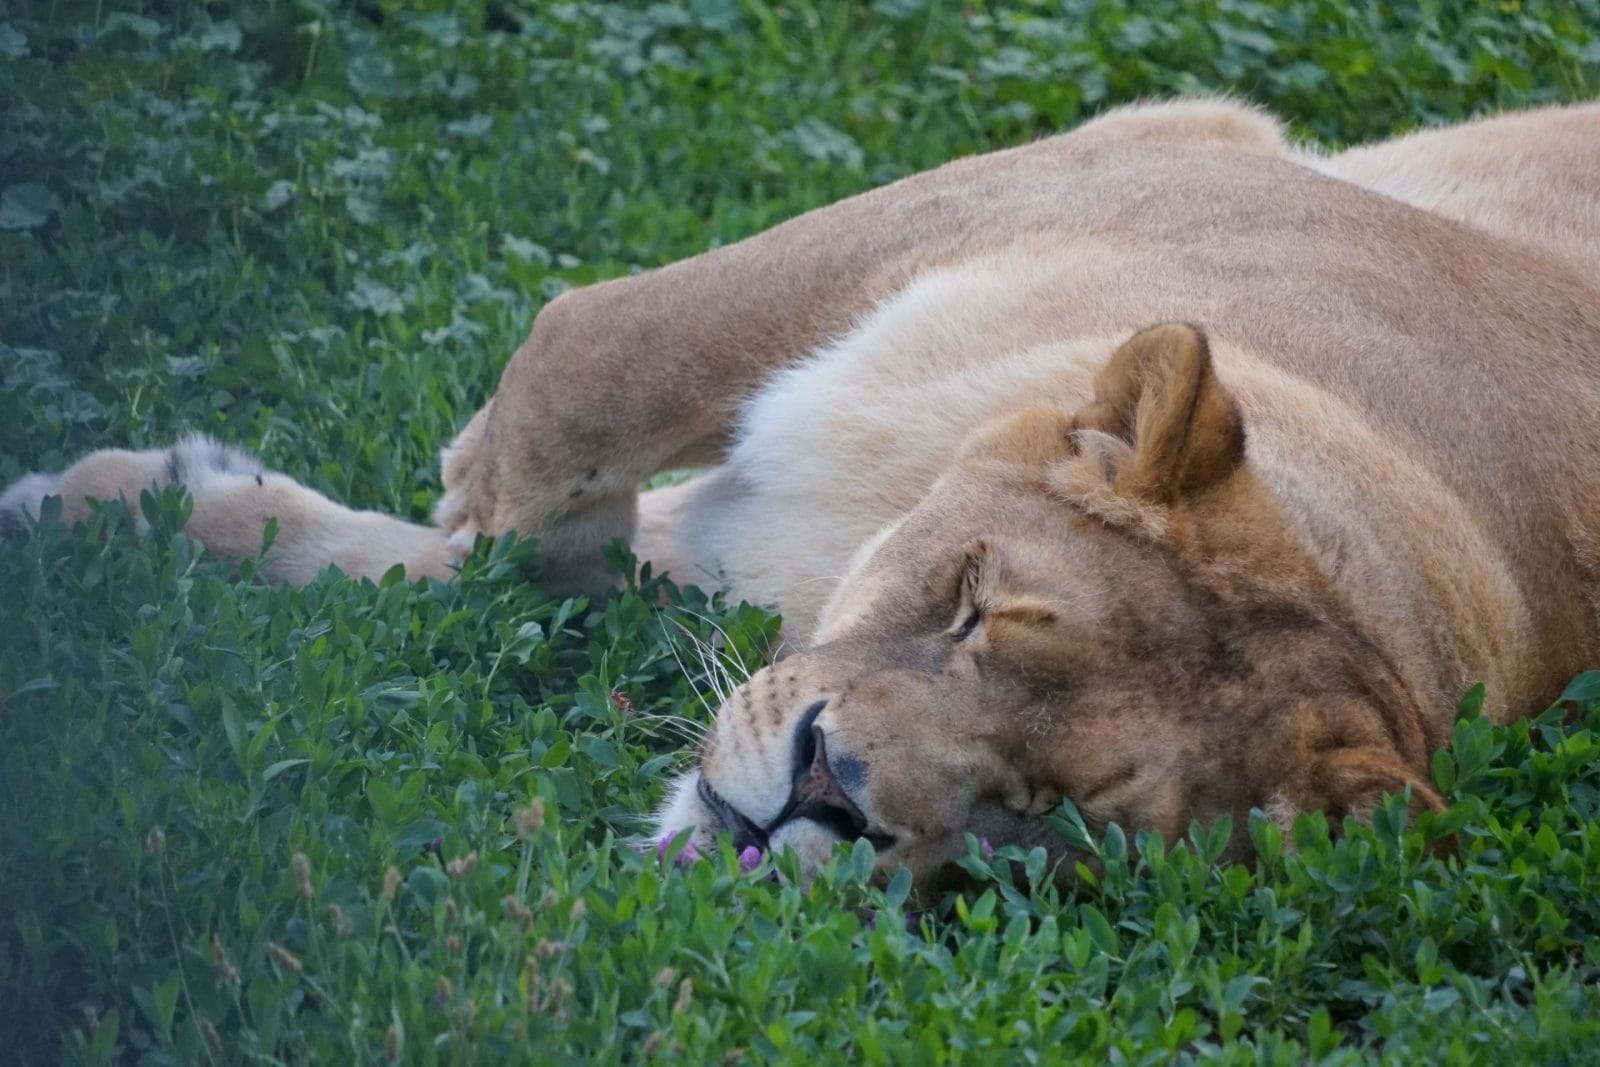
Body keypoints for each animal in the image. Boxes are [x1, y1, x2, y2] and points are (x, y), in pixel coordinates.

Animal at [5, 98, 1599, 887]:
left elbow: (518, 563)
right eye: (971, 605)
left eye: (1056, 817)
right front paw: (103, 506)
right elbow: (583, 370)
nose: (824, 794)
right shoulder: (1148, 147)